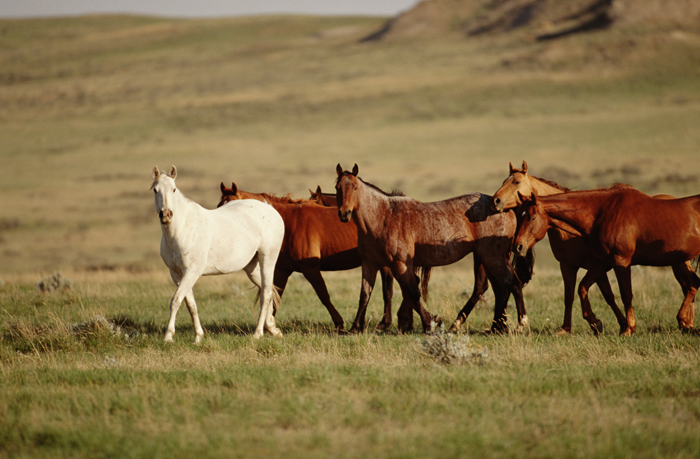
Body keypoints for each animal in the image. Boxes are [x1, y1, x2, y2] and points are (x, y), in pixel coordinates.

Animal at [152, 166, 284, 342]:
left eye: (173, 189)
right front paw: (198, 337)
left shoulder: (192, 272)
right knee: (266, 291)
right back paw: (272, 329)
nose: (166, 214)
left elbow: (176, 300)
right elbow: (190, 304)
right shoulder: (177, 274)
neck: (182, 229)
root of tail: (270, 208)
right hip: (251, 268)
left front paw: (168, 336)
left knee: (266, 293)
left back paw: (257, 333)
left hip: (267, 260)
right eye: (155, 190)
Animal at [218, 182, 401, 333]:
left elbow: (324, 296)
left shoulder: (310, 269)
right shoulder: (283, 271)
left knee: (384, 290)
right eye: (219, 206)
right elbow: (275, 296)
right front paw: (270, 326)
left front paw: (339, 323)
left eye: (231, 206)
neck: (287, 223)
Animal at [335, 163, 530, 334]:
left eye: (354, 187)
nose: (344, 214)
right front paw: (354, 328)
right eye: (337, 187)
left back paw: (510, 325)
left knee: (506, 283)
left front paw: (430, 323)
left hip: (492, 257)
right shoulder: (370, 264)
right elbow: (364, 295)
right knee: (502, 286)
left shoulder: (400, 264)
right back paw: (497, 326)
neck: (384, 217)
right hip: (485, 258)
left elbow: (413, 292)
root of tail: (505, 209)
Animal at [513, 187, 700, 335]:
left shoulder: (621, 262)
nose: (518, 246)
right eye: (519, 217)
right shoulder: (602, 264)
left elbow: (625, 294)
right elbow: (584, 288)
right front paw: (596, 322)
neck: (601, 213)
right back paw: (684, 322)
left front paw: (628, 328)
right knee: (693, 284)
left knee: (691, 285)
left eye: (532, 217)